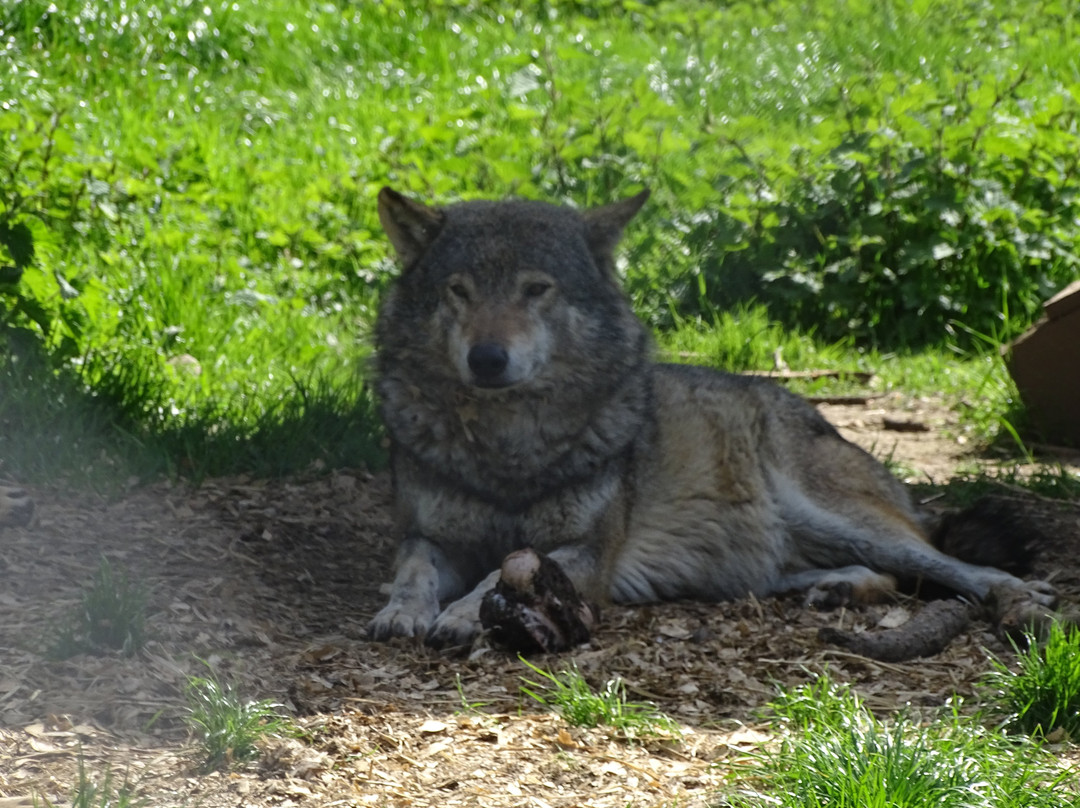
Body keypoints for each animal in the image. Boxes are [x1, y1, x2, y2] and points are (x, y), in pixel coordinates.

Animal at [369, 185, 1054, 648]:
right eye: (459, 291)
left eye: (536, 289)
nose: (487, 359)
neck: (506, 450)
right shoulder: (428, 537)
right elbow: (412, 573)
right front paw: (402, 612)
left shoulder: (585, 554)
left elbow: (494, 577)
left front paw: (461, 615)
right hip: (762, 567)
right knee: (877, 575)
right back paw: (837, 590)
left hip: (840, 518)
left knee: (959, 567)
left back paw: (1021, 598)